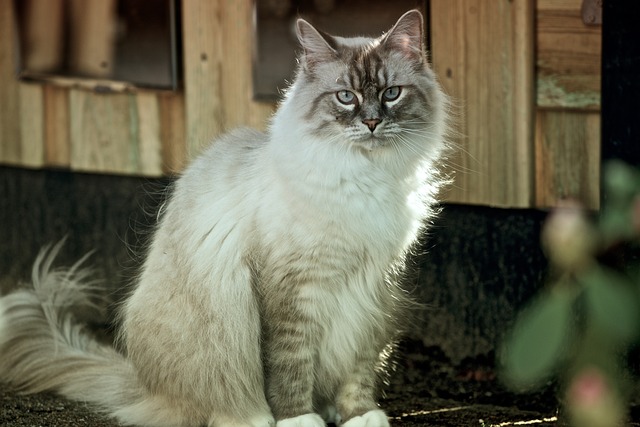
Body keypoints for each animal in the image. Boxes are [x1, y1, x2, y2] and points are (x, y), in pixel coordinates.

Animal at [0, 10, 448, 427]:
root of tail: (142, 383)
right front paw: (298, 419)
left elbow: (359, 365)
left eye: (391, 93)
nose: (371, 122)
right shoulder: (291, 290)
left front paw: (360, 415)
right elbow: (289, 365)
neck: (365, 177)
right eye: (345, 97)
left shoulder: (375, 286)